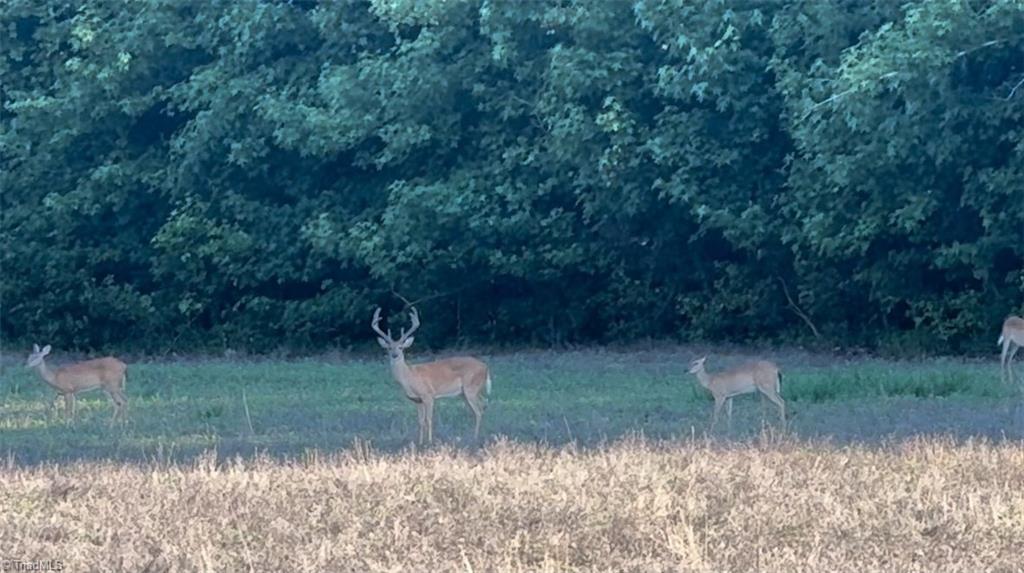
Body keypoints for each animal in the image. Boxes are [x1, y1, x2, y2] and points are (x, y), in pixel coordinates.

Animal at [372, 306, 491, 446]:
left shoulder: (428, 395)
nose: (395, 355)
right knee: (482, 405)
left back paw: (475, 438)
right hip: (466, 392)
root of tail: (486, 367)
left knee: (479, 410)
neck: (409, 377)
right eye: (389, 348)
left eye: (401, 347)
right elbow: (420, 421)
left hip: (471, 387)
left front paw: (429, 442)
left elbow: (428, 419)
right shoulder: (417, 400)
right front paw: (420, 442)